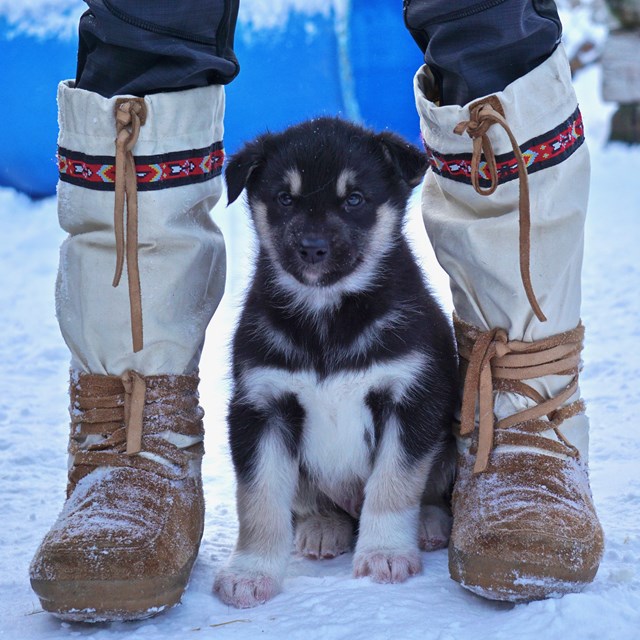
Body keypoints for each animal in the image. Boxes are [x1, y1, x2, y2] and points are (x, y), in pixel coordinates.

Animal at [215, 117, 460, 608]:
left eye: (355, 199)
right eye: (285, 197)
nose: (312, 248)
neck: (327, 315)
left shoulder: (411, 396)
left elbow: (392, 484)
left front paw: (385, 554)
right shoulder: (261, 406)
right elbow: (259, 500)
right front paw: (250, 574)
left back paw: (428, 523)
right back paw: (323, 527)